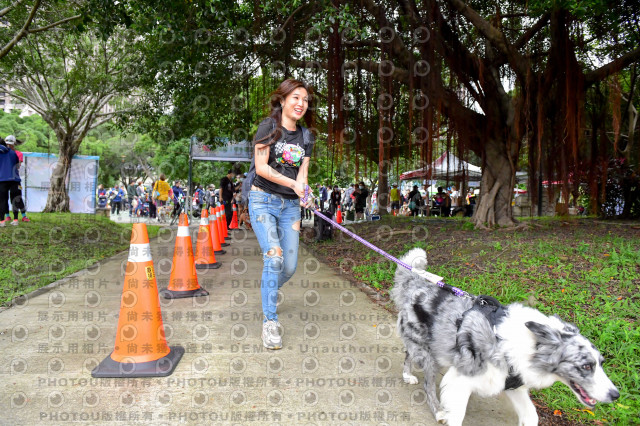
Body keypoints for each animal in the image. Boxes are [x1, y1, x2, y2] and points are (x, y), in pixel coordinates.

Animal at [390, 248, 620, 424]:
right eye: (586, 366)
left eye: (601, 363)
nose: (615, 395)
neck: (528, 345)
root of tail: (416, 285)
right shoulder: (460, 381)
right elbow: (457, 416)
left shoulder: (513, 385)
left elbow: (531, 416)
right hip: (428, 355)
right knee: (427, 384)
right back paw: (437, 410)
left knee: (407, 354)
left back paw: (407, 375)